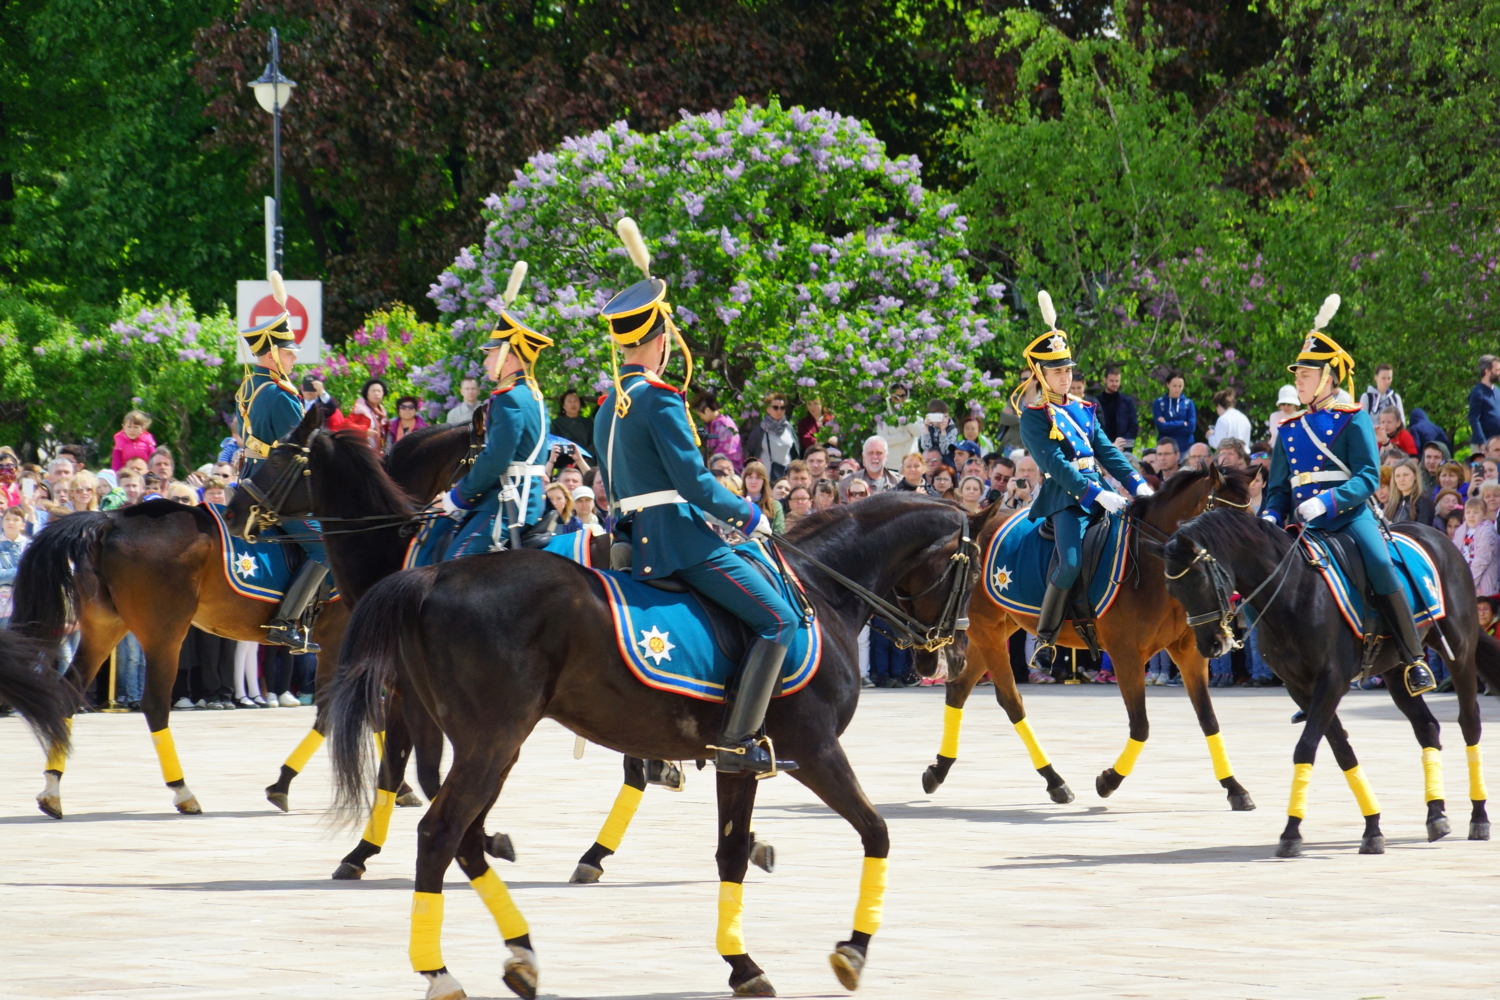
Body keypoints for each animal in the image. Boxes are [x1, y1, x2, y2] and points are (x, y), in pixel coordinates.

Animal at [324, 491, 978, 1000]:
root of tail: (434, 575)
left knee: (461, 834)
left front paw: (742, 965)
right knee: (440, 833)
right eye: (969, 573)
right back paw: (440, 971)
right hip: (491, 742)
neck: (818, 588)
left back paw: (521, 953)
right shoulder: (815, 752)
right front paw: (853, 950)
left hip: (488, 745)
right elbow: (877, 832)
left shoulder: (738, 763)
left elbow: (731, 854)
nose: (949, 652)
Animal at [918, 470, 1260, 815]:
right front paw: (1109, 781)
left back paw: (939, 770)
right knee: (1010, 700)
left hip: (997, 630)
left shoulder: (1190, 651)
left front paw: (1235, 788)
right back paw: (1054, 780)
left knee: (959, 688)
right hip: (987, 632)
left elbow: (1208, 719)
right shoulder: (1126, 655)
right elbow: (1141, 725)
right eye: (1222, 520)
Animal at [1164, 512, 1500, 857]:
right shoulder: (1300, 687)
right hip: (1396, 669)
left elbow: (1306, 747)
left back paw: (1479, 816)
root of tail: (1435, 536)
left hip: (1459, 651)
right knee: (1427, 727)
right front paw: (1372, 826)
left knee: (1469, 722)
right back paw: (1436, 814)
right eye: (1172, 589)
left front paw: (1291, 832)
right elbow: (1342, 751)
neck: (1293, 594)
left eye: (1200, 580)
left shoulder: (1332, 682)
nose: (1211, 645)